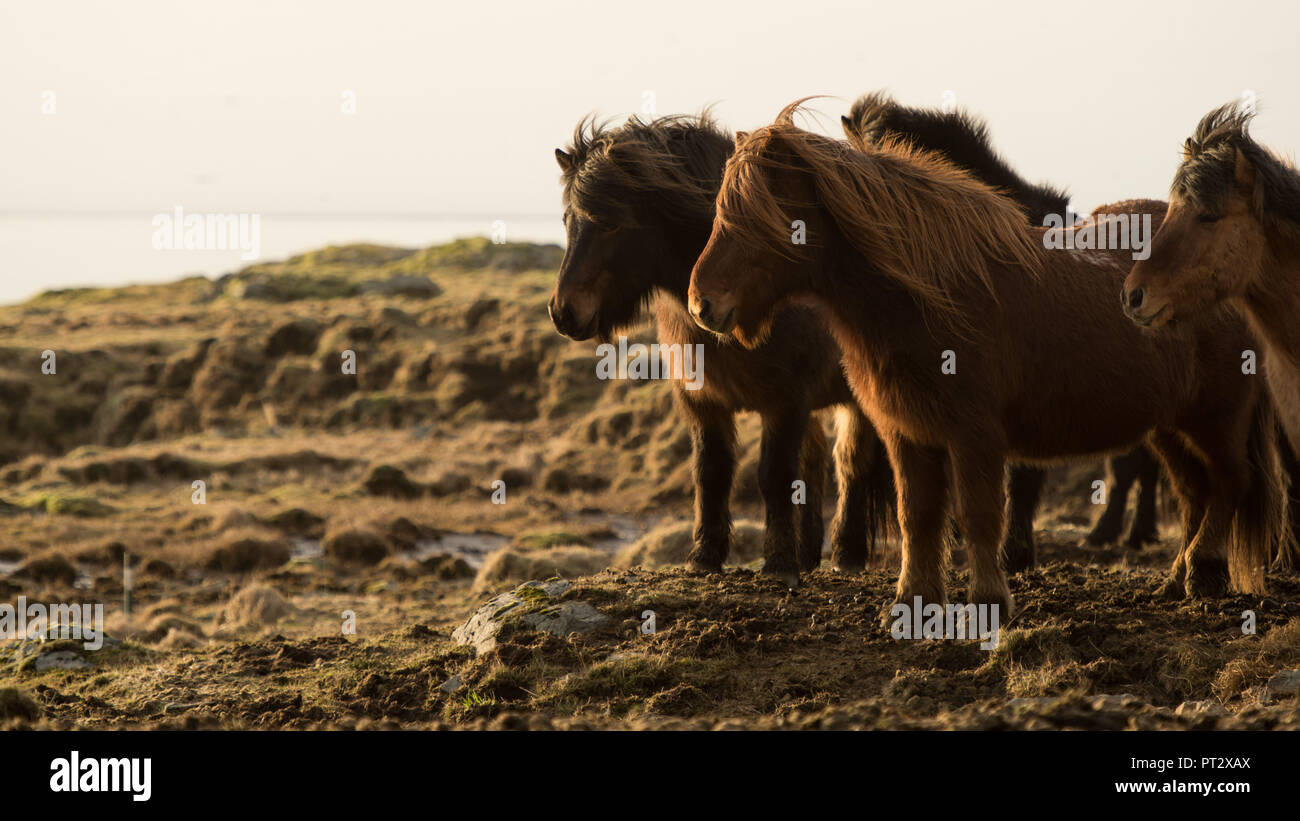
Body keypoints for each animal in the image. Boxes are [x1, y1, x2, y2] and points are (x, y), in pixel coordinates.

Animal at [691, 102, 1279, 613]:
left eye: (761, 216)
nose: (702, 305)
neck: (929, 294)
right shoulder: (907, 433)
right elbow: (918, 516)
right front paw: (913, 601)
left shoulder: (975, 435)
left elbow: (977, 516)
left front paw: (990, 601)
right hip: (1170, 427)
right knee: (1196, 492)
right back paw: (1177, 579)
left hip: (1216, 416)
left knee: (1231, 481)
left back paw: (1203, 572)